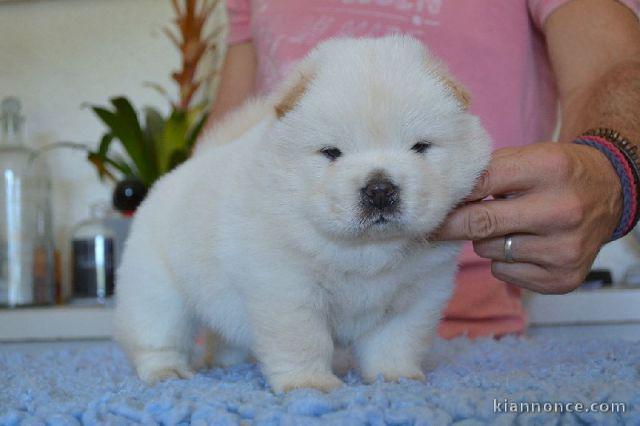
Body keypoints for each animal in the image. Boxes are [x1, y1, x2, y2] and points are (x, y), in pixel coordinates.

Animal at [115, 35, 492, 392]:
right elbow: (303, 341)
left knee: (221, 335)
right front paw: (309, 384)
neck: (368, 251)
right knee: (157, 335)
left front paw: (397, 379)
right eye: (331, 153)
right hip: (157, 288)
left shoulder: (417, 297)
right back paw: (167, 372)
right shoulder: (288, 290)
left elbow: (397, 343)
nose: (380, 190)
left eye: (420, 147)